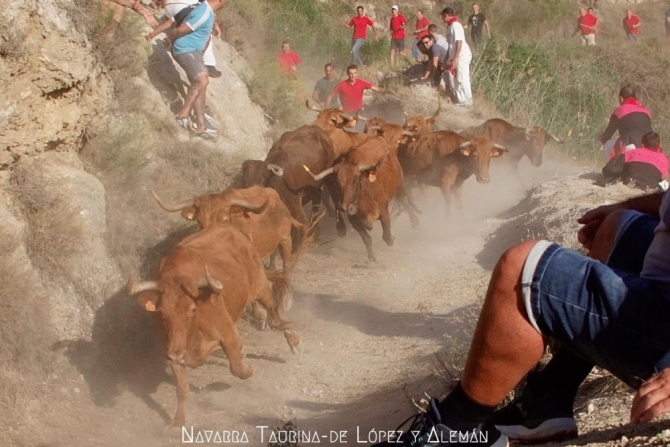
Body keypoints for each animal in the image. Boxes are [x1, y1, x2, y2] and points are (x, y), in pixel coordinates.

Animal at [125, 224, 302, 428]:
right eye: (162, 312)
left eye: (192, 309)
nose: (177, 353)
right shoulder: (171, 350)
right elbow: (182, 389)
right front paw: (177, 422)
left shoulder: (226, 333)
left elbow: (237, 368)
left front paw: (247, 369)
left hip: (260, 287)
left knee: (275, 313)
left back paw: (294, 341)